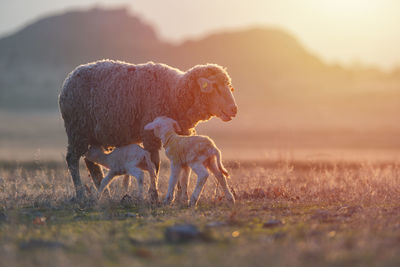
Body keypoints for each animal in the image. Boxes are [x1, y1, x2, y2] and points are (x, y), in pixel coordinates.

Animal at [59, 59, 238, 201]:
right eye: (214, 86)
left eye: (228, 86)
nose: (234, 109)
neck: (175, 93)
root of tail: (69, 78)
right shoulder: (150, 136)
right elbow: (155, 165)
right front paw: (154, 195)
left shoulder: (182, 135)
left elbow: (182, 172)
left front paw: (181, 196)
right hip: (77, 130)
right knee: (72, 160)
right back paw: (81, 194)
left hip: (92, 135)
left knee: (92, 163)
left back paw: (105, 193)